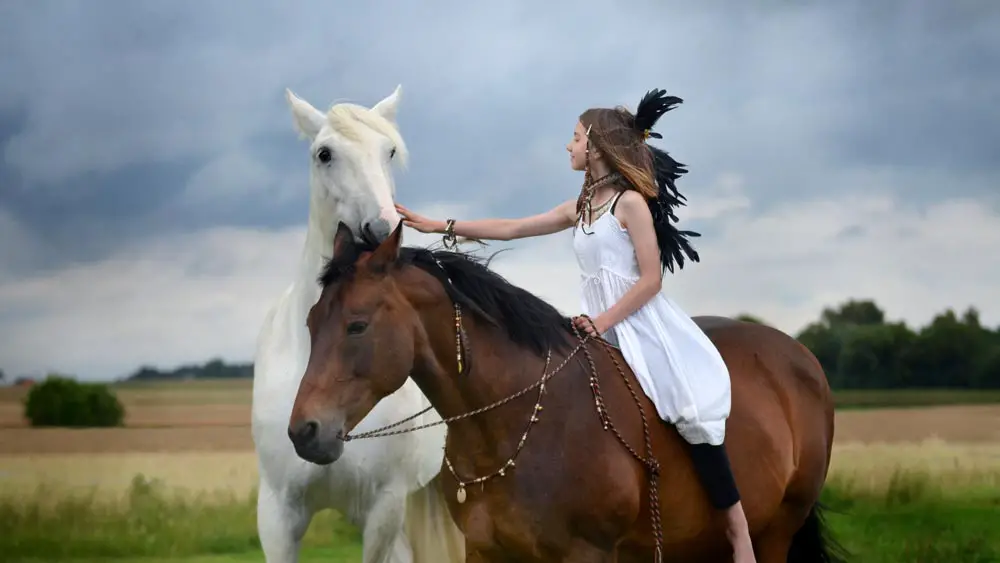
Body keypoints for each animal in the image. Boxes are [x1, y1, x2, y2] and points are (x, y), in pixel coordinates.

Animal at [288, 221, 844, 563]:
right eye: (312, 322)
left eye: (357, 325)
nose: (303, 432)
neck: (514, 425)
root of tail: (801, 358)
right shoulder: (486, 553)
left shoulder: (588, 553)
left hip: (775, 534)